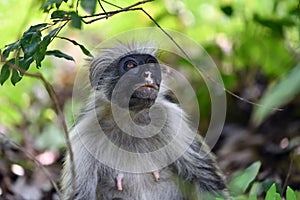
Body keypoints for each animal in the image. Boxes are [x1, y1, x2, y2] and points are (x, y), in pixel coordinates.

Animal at [61, 41, 230, 199]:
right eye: (130, 65)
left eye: (151, 64)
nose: (148, 73)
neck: (132, 120)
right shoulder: (85, 135)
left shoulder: (173, 121)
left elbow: (208, 181)